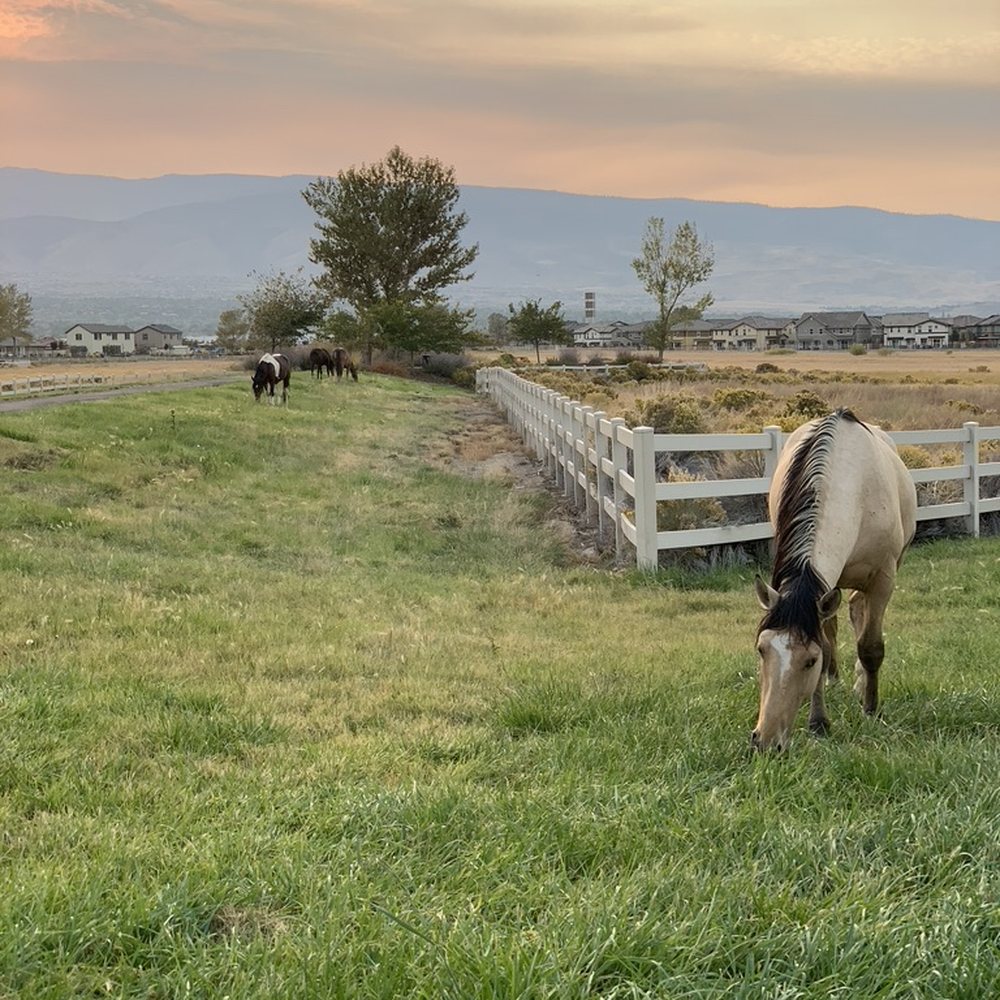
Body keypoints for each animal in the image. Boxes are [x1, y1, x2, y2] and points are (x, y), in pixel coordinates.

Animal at [751, 408, 916, 751]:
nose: (766, 741)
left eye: (808, 661)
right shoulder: (827, 585)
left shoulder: (883, 580)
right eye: (761, 650)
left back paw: (861, 684)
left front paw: (871, 709)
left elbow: (870, 647)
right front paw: (819, 722)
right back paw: (839, 679)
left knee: (860, 614)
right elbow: (828, 641)